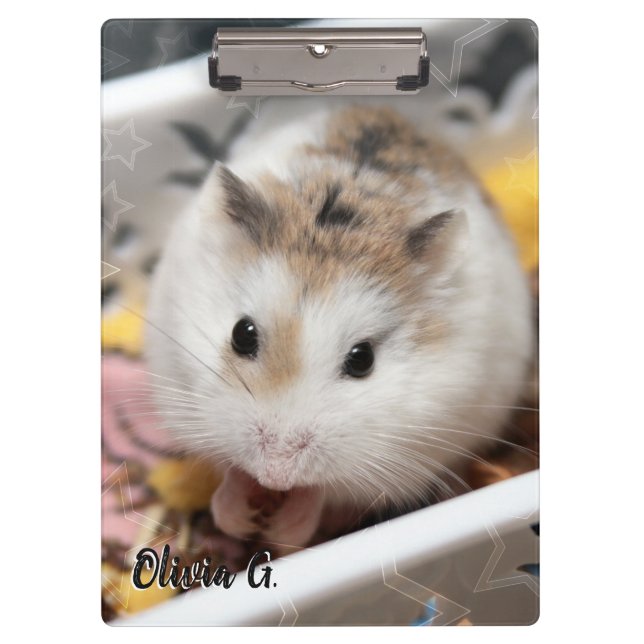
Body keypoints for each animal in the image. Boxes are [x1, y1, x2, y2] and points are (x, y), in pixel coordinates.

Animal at [145, 105, 534, 552]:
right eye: (241, 334)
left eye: (363, 360)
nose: (275, 473)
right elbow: (231, 470)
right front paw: (239, 519)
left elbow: (321, 491)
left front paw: (280, 528)